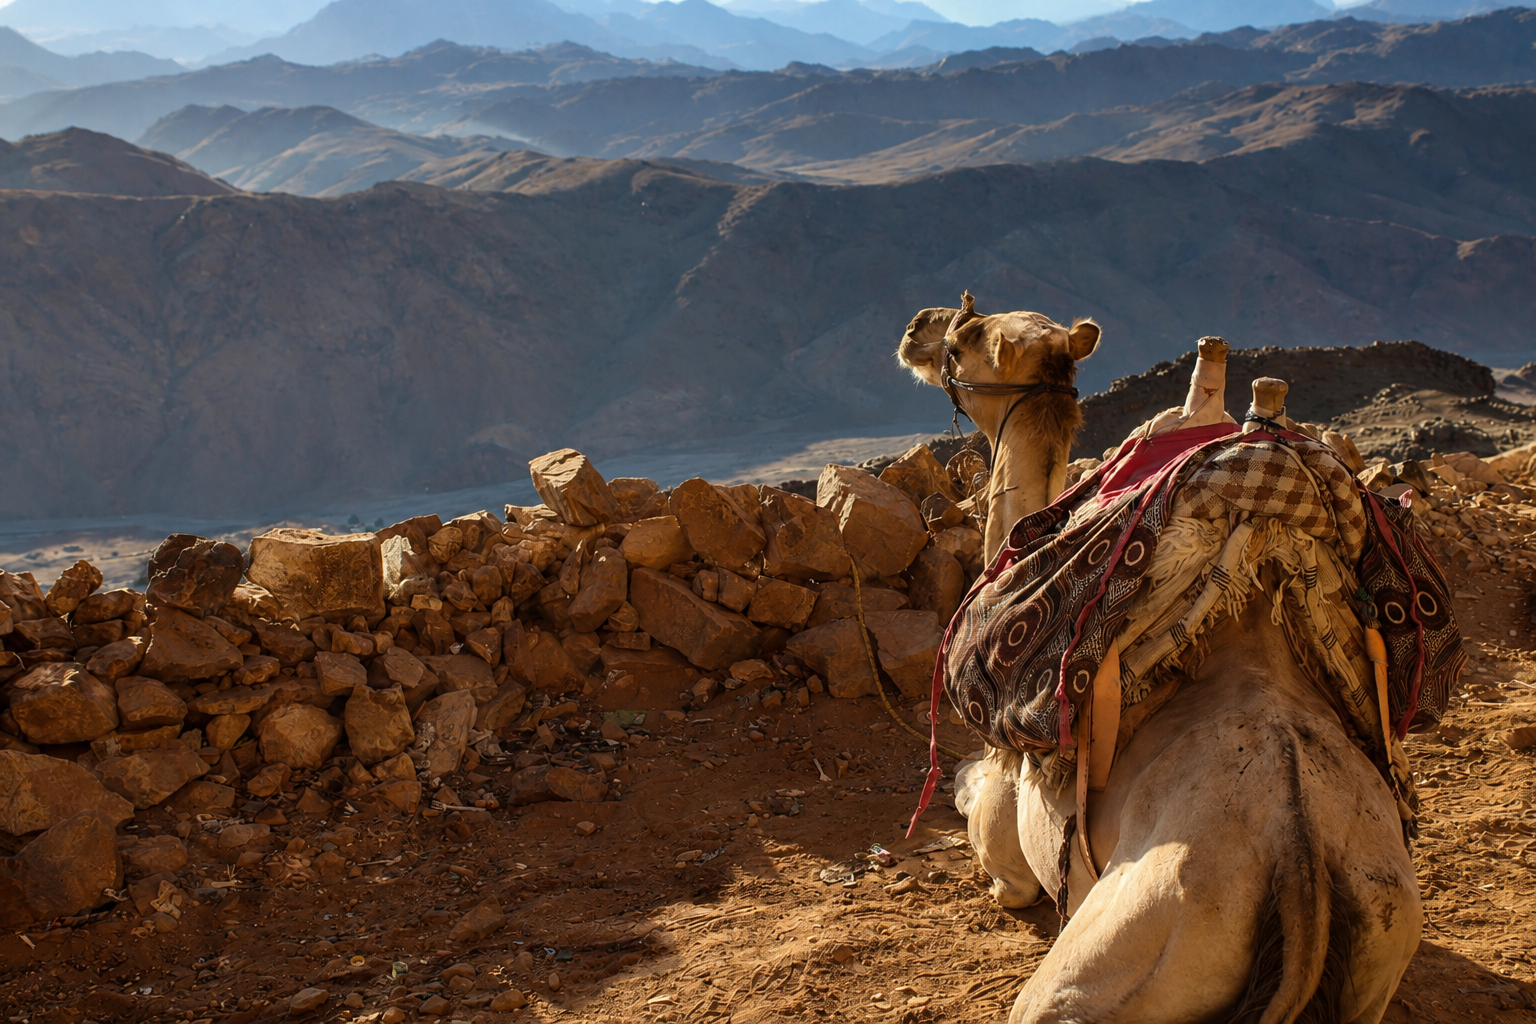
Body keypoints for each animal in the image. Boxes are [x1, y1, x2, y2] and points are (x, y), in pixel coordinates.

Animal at [896, 298, 1421, 1023]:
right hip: (1384, 935)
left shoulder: (1009, 847)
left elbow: (979, 810)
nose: (918, 325)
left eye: (966, 338)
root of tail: (1301, 867)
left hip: (1111, 960)